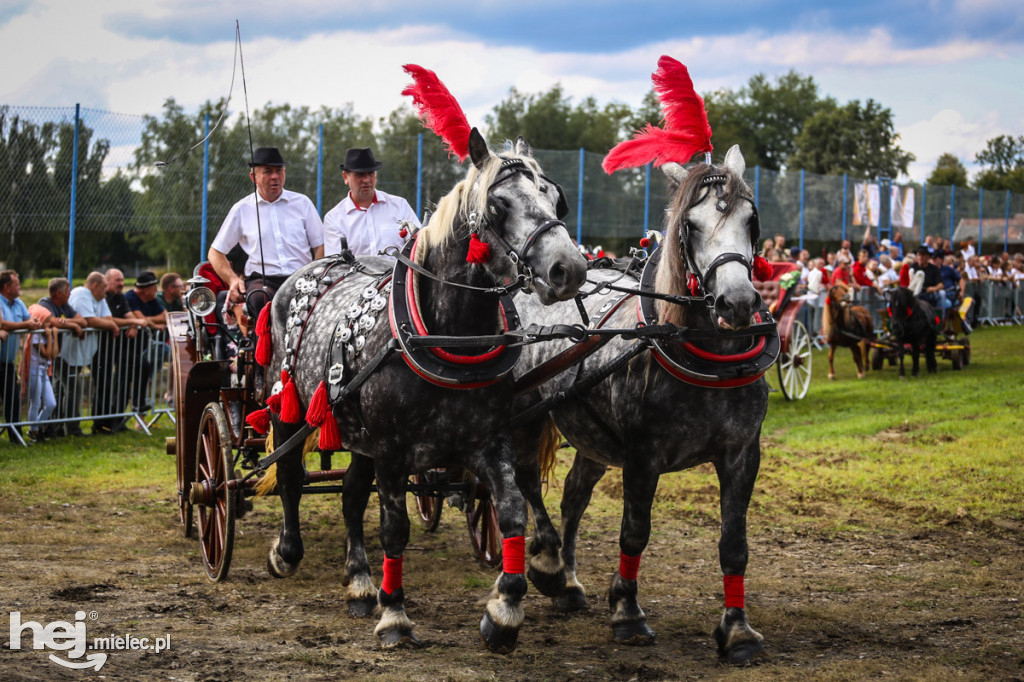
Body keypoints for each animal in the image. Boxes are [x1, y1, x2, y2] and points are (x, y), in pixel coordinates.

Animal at [264, 129, 585, 655]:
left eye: (555, 197)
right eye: (497, 204)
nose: (570, 269)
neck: (448, 335)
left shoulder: (486, 441)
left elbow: (512, 511)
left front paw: (505, 610)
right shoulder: (393, 450)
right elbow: (395, 529)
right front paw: (395, 614)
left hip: (359, 436)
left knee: (351, 495)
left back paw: (360, 582)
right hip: (287, 407)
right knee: (290, 476)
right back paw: (288, 553)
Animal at [516, 146, 770, 659]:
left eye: (751, 219)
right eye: (690, 225)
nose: (736, 302)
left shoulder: (742, 453)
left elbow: (734, 543)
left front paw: (737, 630)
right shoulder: (642, 455)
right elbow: (634, 531)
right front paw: (627, 611)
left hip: (591, 437)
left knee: (574, 495)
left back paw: (569, 582)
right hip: (525, 415)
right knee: (528, 481)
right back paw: (549, 565)